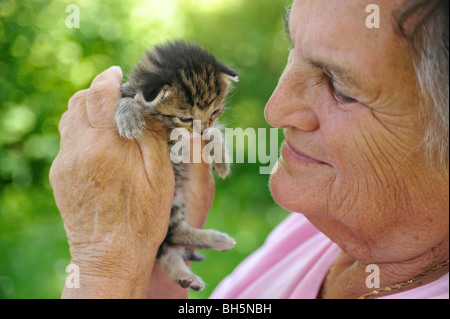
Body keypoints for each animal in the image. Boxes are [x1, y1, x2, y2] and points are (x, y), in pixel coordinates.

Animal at [114, 41, 237, 292]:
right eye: (186, 118)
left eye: (215, 111)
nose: (200, 131)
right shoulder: (126, 90)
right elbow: (125, 99)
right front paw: (128, 116)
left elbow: (216, 131)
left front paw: (220, 155)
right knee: (172, 235)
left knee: (173, 236)